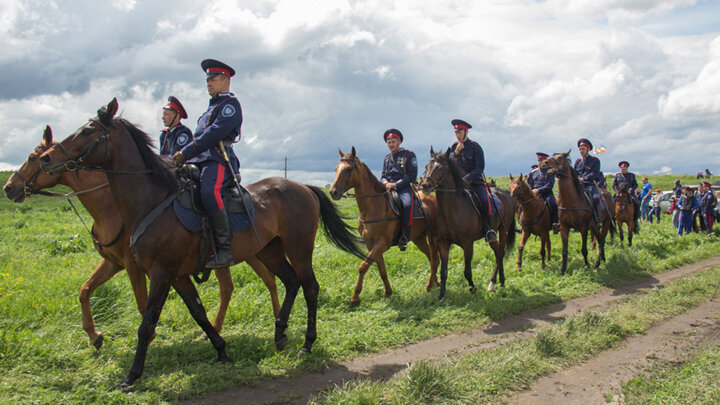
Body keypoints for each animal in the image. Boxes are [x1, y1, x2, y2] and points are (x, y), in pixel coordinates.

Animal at [3, 125, 282, 348]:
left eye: (33, 157)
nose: (8, 188)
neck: (114, 207)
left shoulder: (134, 265)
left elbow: (141, 302)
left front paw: (152, 336)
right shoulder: (113, 262)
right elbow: (85, 289)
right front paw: (95, 336)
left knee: (257, 281)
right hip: (247, 253)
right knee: (245, 284)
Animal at [38, 98, 366, 388]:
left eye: (87, 131)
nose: (46, 158)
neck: (153, 201)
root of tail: (304, 188)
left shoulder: (160, 273)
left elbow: (147, 323)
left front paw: (131, 375)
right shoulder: (177, 275)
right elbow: (198, 313)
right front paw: (221, 350)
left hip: (299, 249)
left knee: (310, 287)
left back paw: (307, 344)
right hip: (268, 251)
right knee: (290, 282)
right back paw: (280, 333)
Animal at [326, 148, 438, 306]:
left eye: (348, 169)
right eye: (336, 169)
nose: (333, 192)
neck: (373, 207)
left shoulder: (382, 243)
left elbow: (363, 266)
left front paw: (355, 297)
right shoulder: (371, 244)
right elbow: (381, 269)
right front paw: (388, 292)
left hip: (431, 235)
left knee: (435, 259)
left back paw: (430, 285)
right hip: (419, 238)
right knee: (431, 257)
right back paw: (435, 282)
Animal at [420, 147, 516, 298]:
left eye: (440, 168)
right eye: (426, 166)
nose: (425, 185)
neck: (453, 211)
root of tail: (506, 194)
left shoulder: (468, 244)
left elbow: (467, 271)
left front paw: (472, 288)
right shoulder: (443, 243)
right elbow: (443, 271)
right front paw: (441, 296)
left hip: (503, 231)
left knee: (500, 253)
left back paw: (498, 281)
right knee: (498, 254)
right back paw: (495, 283)